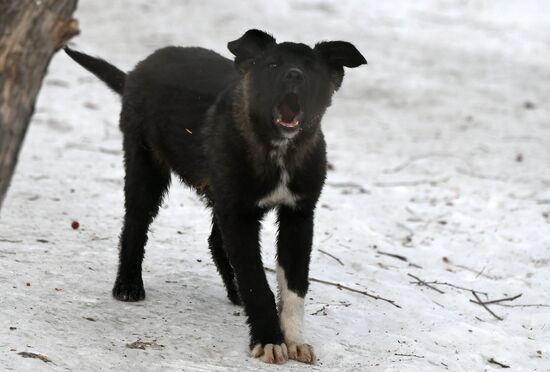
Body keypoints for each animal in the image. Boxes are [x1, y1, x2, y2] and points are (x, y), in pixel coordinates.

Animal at [64, 28, 366, 364]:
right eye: (272, 65)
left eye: (311, 69)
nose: (294, 75)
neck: (278, 151)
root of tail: (136, 71)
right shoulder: (238, 213)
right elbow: (256, 282)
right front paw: (269, 340)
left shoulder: (298, 214)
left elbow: (294, 286)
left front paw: (295, 340)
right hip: (146, 164)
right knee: (135, 225)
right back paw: (128, 283)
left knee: (215, 241)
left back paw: (233, 293)